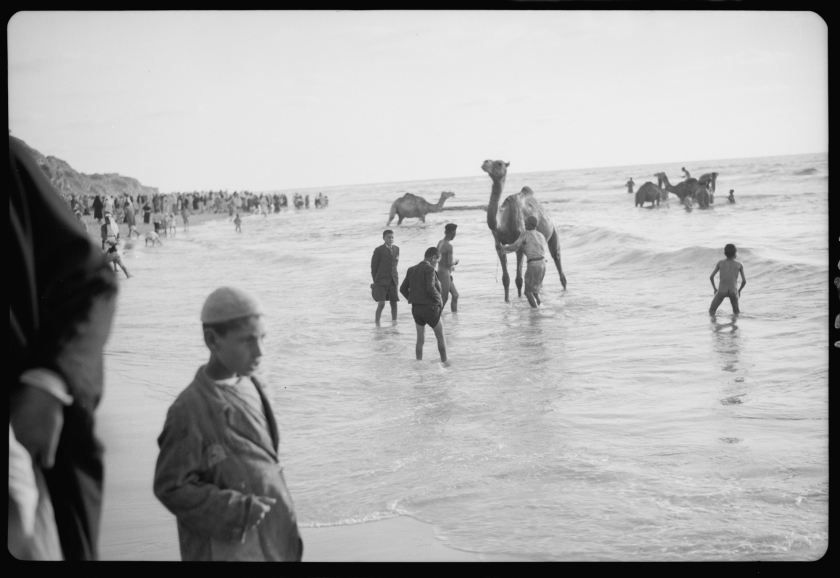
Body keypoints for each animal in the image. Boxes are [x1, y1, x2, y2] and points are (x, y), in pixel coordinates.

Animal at [482, 158, 568, 302]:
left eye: (499, 163)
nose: (485, 162)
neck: (503, 219)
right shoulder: (498, 244)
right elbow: (505, 279)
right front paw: (507, 301)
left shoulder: (520, 243)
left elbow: (519, 279)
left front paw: (519, 298)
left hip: (554, 230)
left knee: (557, 256)